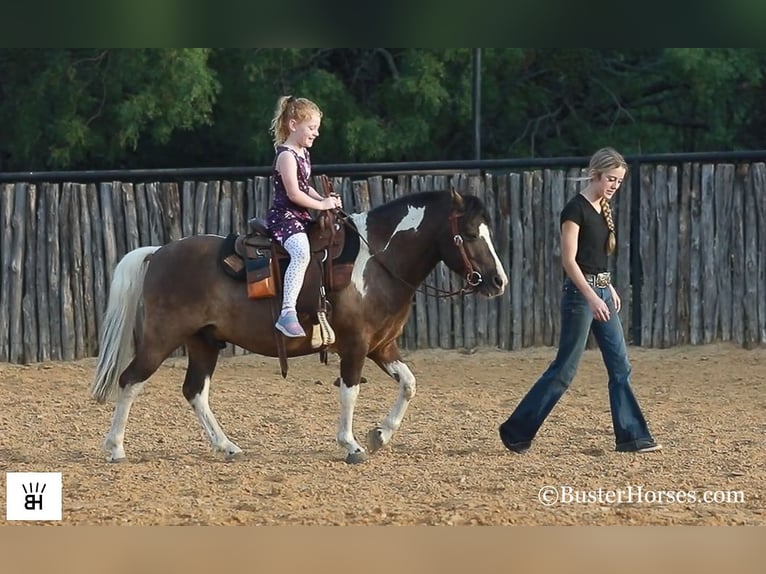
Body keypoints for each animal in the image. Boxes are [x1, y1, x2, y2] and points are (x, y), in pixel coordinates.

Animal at [90, 191, 510, 466]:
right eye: (471, 234)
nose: (498, 281)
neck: (377, 261)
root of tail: (159, 252)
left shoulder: (382, 347)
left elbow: (409, 384)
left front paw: (379, 434)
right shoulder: (355, 346)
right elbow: (349, 392)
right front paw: (351, 445)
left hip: (204, 343)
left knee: (195, 391)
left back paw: (227, 446)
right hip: (160, 340)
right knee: (130, 381)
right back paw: (115, 448)